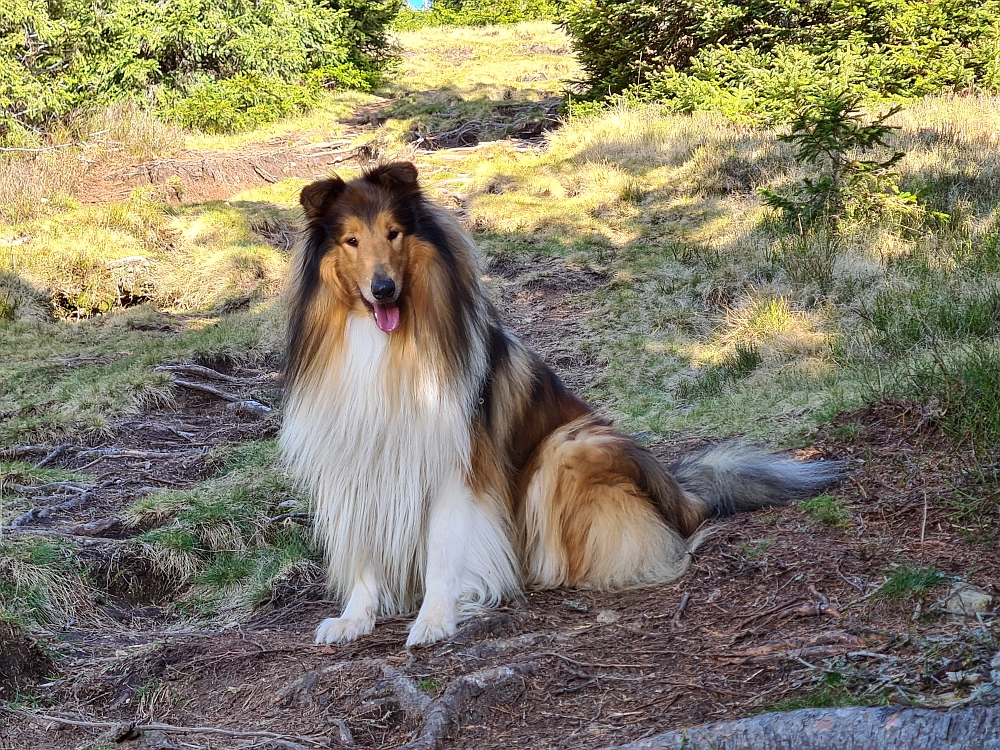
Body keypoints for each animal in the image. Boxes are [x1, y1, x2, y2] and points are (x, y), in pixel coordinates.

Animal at [278, 162, 840, 648]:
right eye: (352, 240)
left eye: (394, 233)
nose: (383, 289)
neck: (384, 348)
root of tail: (677, 493)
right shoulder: (360, 463)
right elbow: (365, 556)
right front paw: (355, 619)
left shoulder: (457, 467)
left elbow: (444, 552)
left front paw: (435, 619)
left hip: (566, 447)